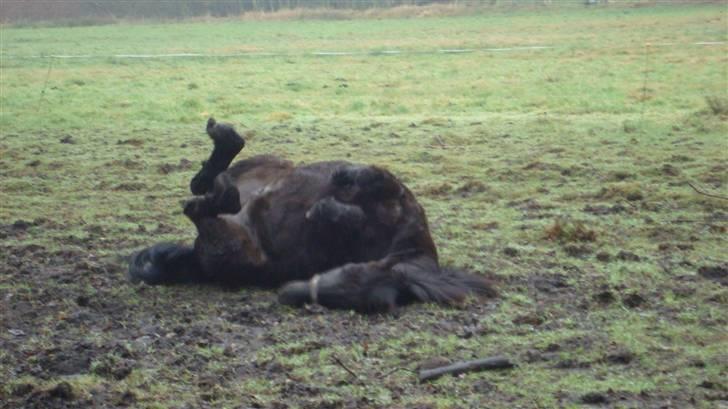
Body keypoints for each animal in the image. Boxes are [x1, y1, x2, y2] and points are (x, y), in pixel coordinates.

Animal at [128, 118, 495, 313]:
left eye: (368, 295)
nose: (290, 293)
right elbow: (381, 184)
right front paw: (338, 198)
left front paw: (332, 211)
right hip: (271, 163)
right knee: (207, 180)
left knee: (205, 197)